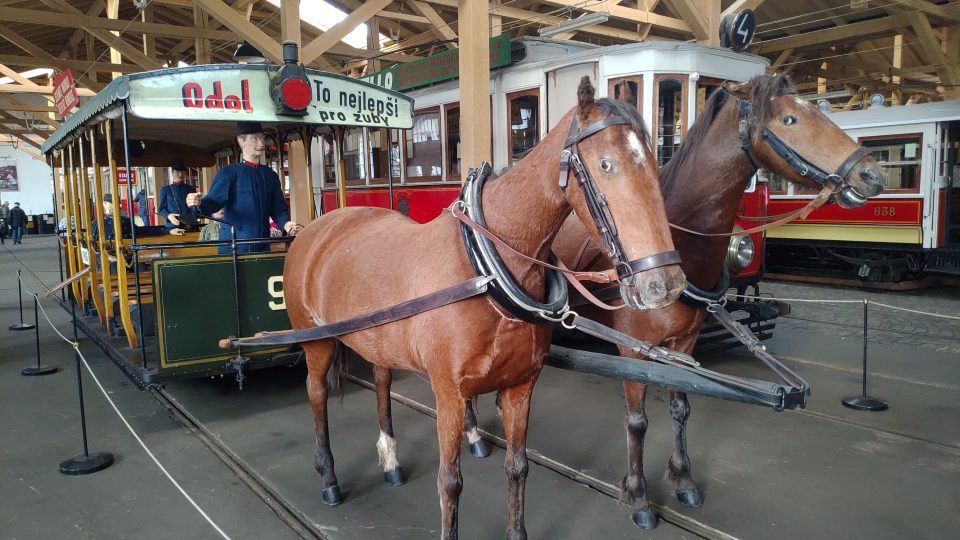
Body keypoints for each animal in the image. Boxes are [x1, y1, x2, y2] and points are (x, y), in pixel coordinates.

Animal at [282, 77, 688, 540]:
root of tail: (313, 228)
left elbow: (518, 468)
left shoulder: (521, 386)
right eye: (606, 165)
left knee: (382, 382)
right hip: (316, 342)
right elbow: (450, 482)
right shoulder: (449, 395)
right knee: (316, 394)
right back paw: (328, 477)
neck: (486, 267)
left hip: (377, 339)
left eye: (656, 163)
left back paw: (390, 460)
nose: (665, 283)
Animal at [540, 74, 884, 528]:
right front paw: (638, 496)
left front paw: (683, 479)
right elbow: (637, 422)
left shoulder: (684, 344)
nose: (873, 173)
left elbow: (681, 408)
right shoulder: (634, 350)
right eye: (789, 119)